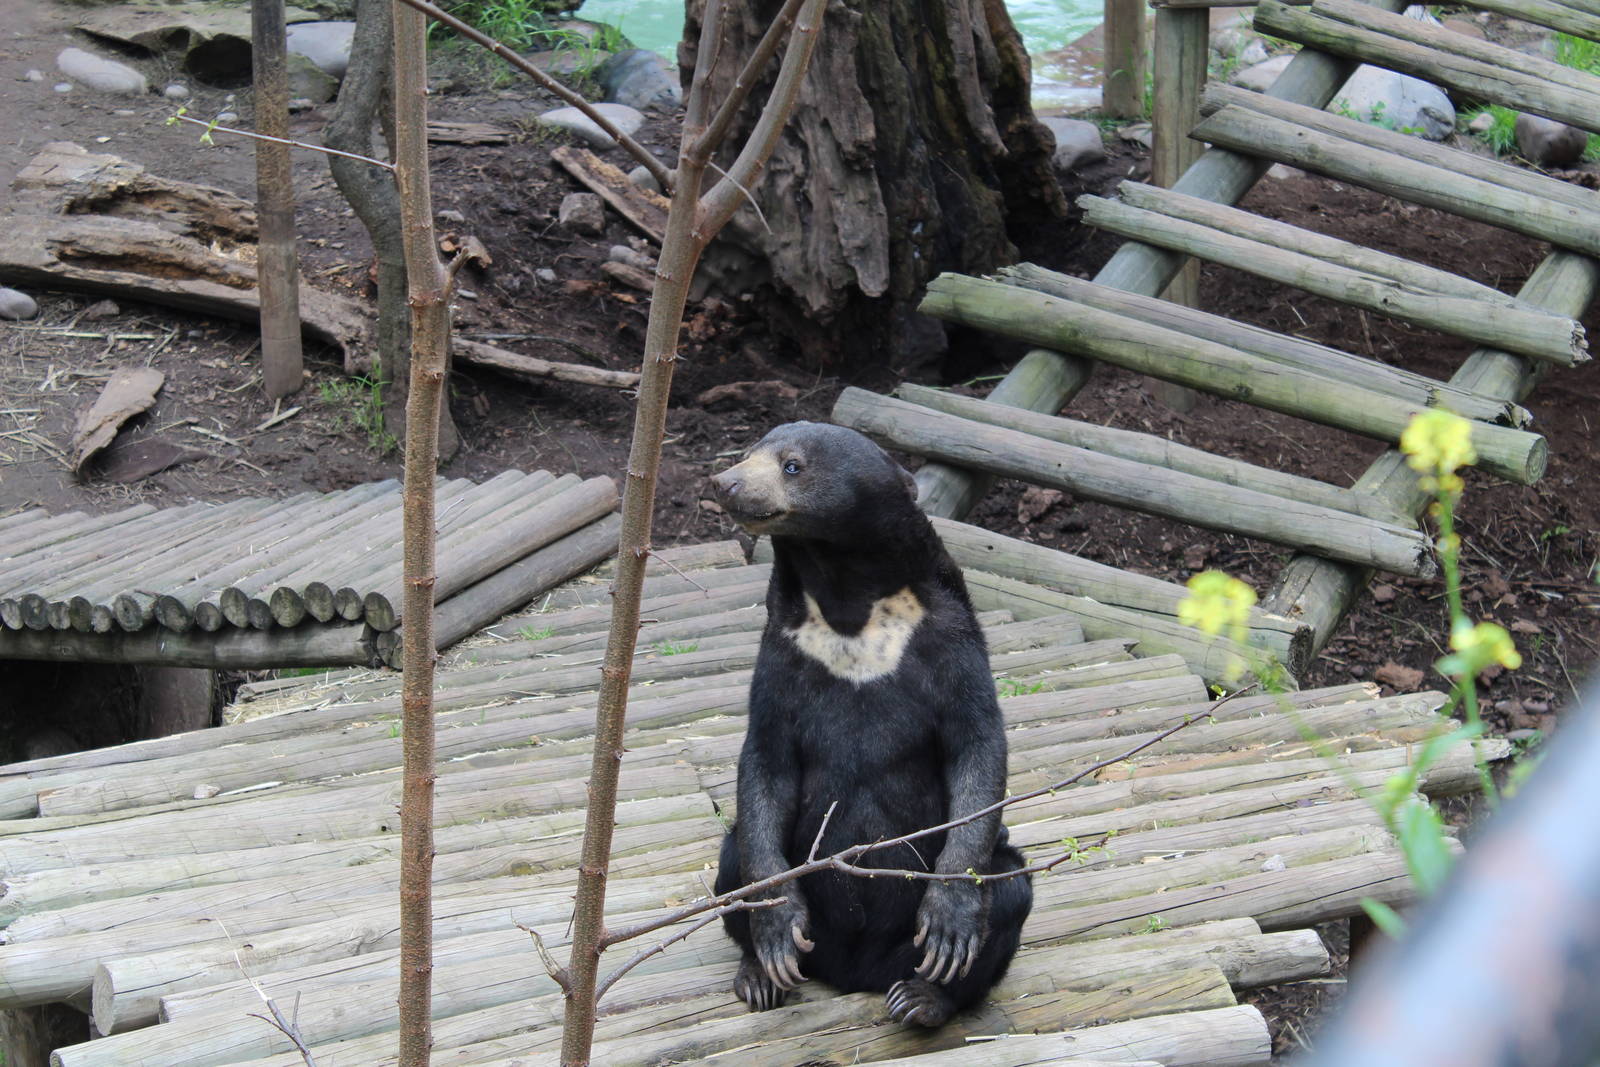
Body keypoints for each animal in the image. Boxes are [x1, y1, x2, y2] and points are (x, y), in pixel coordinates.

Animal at [708, 421, 1031, 1028]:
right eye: (747, 452)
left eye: (791, 465)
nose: (725, 483)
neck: (847, 597)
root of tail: (853, 972)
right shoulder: (784, 650)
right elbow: (766, 757)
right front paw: (776, 928)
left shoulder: (947, 637)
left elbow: (977, 744)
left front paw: (949, 922)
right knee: (733, 857)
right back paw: (760, 975)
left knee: (1010, 890)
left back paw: (924, 996)